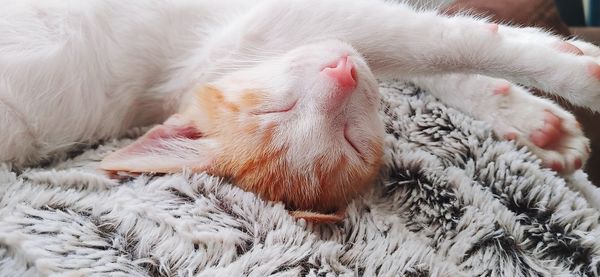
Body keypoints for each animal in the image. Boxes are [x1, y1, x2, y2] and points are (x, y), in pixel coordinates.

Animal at [0, 0, 596, 220]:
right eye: (277, 112)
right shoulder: (285, 20)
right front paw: (577, 76)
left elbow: (428, 57)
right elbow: (439, 43)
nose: (342, 76)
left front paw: (528, 117)